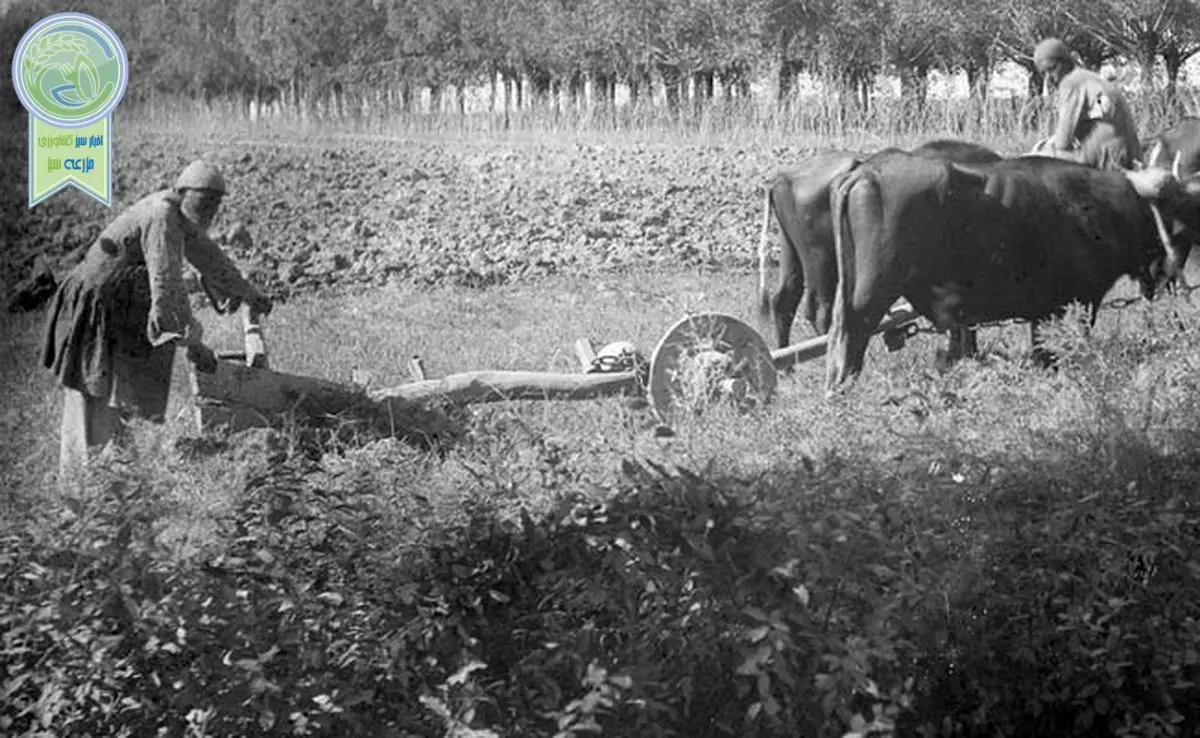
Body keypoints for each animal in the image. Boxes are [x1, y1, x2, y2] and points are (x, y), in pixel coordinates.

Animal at [820, 151, 1195, 393]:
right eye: (1175, 215)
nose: (1172, 274)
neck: (1099, 208)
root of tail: (865, 172)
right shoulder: (1080, 302)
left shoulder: (1044, 313)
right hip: (869, 296)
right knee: (850, 341)